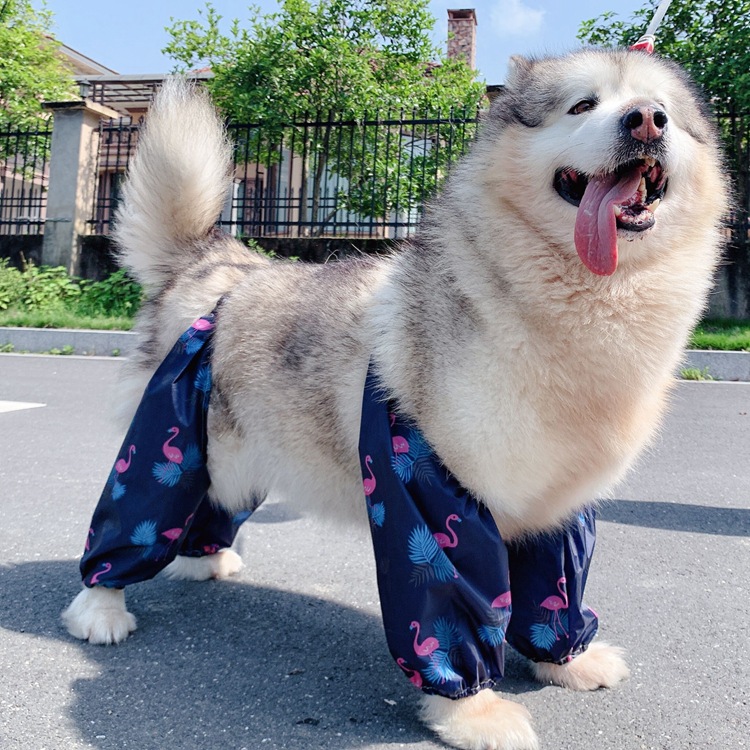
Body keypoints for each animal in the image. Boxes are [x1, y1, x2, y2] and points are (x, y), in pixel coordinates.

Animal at [62, 49, 726, 750]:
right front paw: (473, 713)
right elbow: (452, 613)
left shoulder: (559, 511)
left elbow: (557, 593)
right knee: (132, 516)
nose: (645, 120)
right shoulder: (433, 496)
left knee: (213, 507)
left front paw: (566, 661)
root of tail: (209, 258)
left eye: (665, 113)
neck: (585, 308)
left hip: (239, 456)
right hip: (169, 447)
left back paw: (207, 561)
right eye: (583, 105)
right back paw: (99, 606)